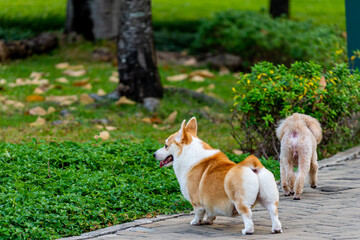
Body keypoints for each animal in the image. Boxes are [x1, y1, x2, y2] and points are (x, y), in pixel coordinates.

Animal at [153, 118, 282, 234]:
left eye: (166, 145)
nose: (154, 154)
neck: (187, 152)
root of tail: (252, 165)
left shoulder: (196, 202)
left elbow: (198, 213)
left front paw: (196, 222)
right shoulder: (210, 203)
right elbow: (210, 213)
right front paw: (208, 220)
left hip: (239, 200)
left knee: (247, 214)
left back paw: (247, 230)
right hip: (268, 197)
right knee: (273, 211)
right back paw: (276, 229)